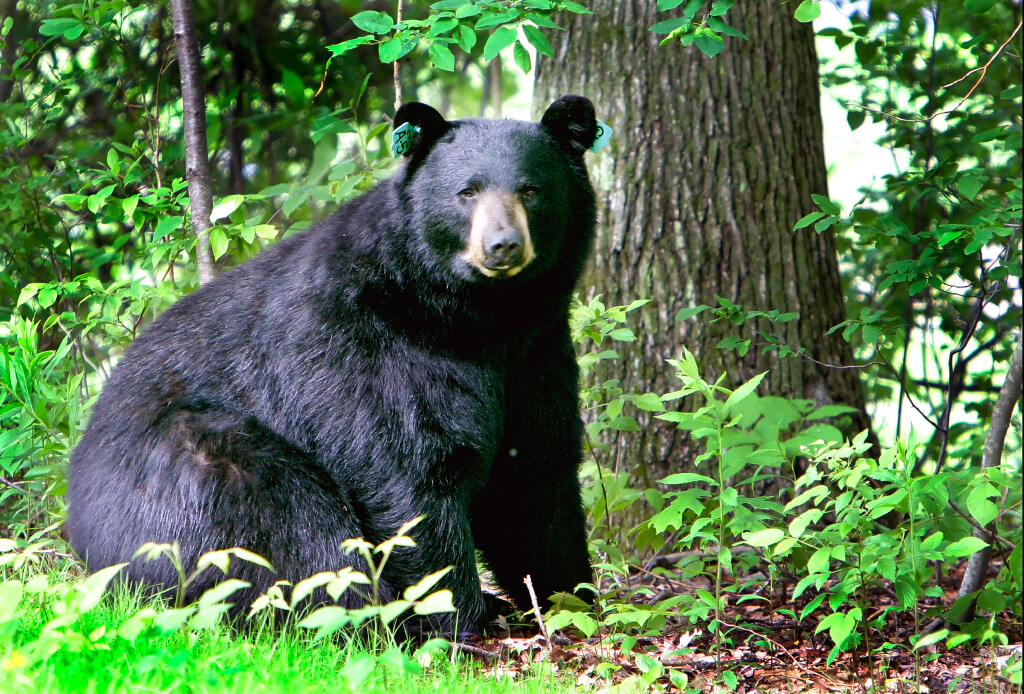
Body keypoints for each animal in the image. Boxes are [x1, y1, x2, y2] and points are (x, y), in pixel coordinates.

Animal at [66, 95, 601, 638]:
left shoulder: (537, 355)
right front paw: (455, 619)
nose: (503, 245)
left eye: (531, 190)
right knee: (293, 527)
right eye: (466, 192)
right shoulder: (365, 350)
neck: (480, 322)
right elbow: (409, 474)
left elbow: (535, 475)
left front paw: (573, 599)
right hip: (192, 477)